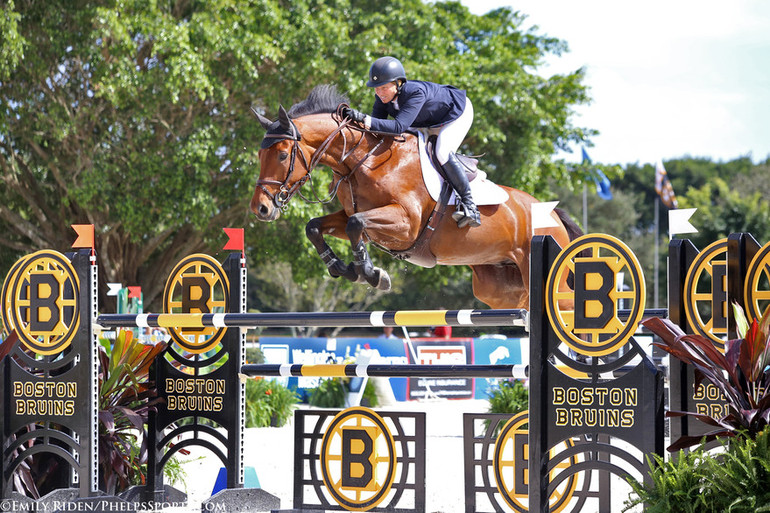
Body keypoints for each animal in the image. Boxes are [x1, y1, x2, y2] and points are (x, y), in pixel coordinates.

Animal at [249, 85, 580, 308]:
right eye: (259, 155)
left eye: (282, 155)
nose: (260, 209)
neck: (362, 160)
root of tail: (552, 214)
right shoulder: (351, 216)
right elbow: (316, 226)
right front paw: (341, 268)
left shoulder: (406, 223)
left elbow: (357, 224)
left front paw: (370, 273)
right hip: (498, 288)